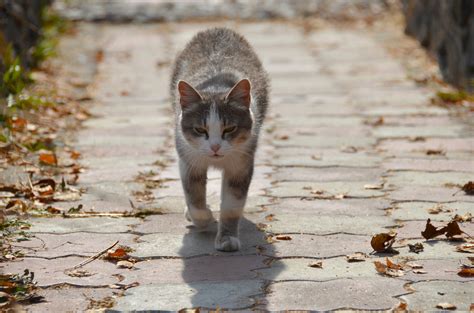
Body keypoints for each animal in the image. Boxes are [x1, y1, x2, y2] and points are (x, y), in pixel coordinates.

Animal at [170, 27, 268, 251]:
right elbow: (194, 195)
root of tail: (217, 30)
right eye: (200, 129)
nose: (215, 147)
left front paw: (227, 238)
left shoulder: (241, 163)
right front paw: (203, 218)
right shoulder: (188, 159)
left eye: (230, 128)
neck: (215, 87)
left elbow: (232, 205)